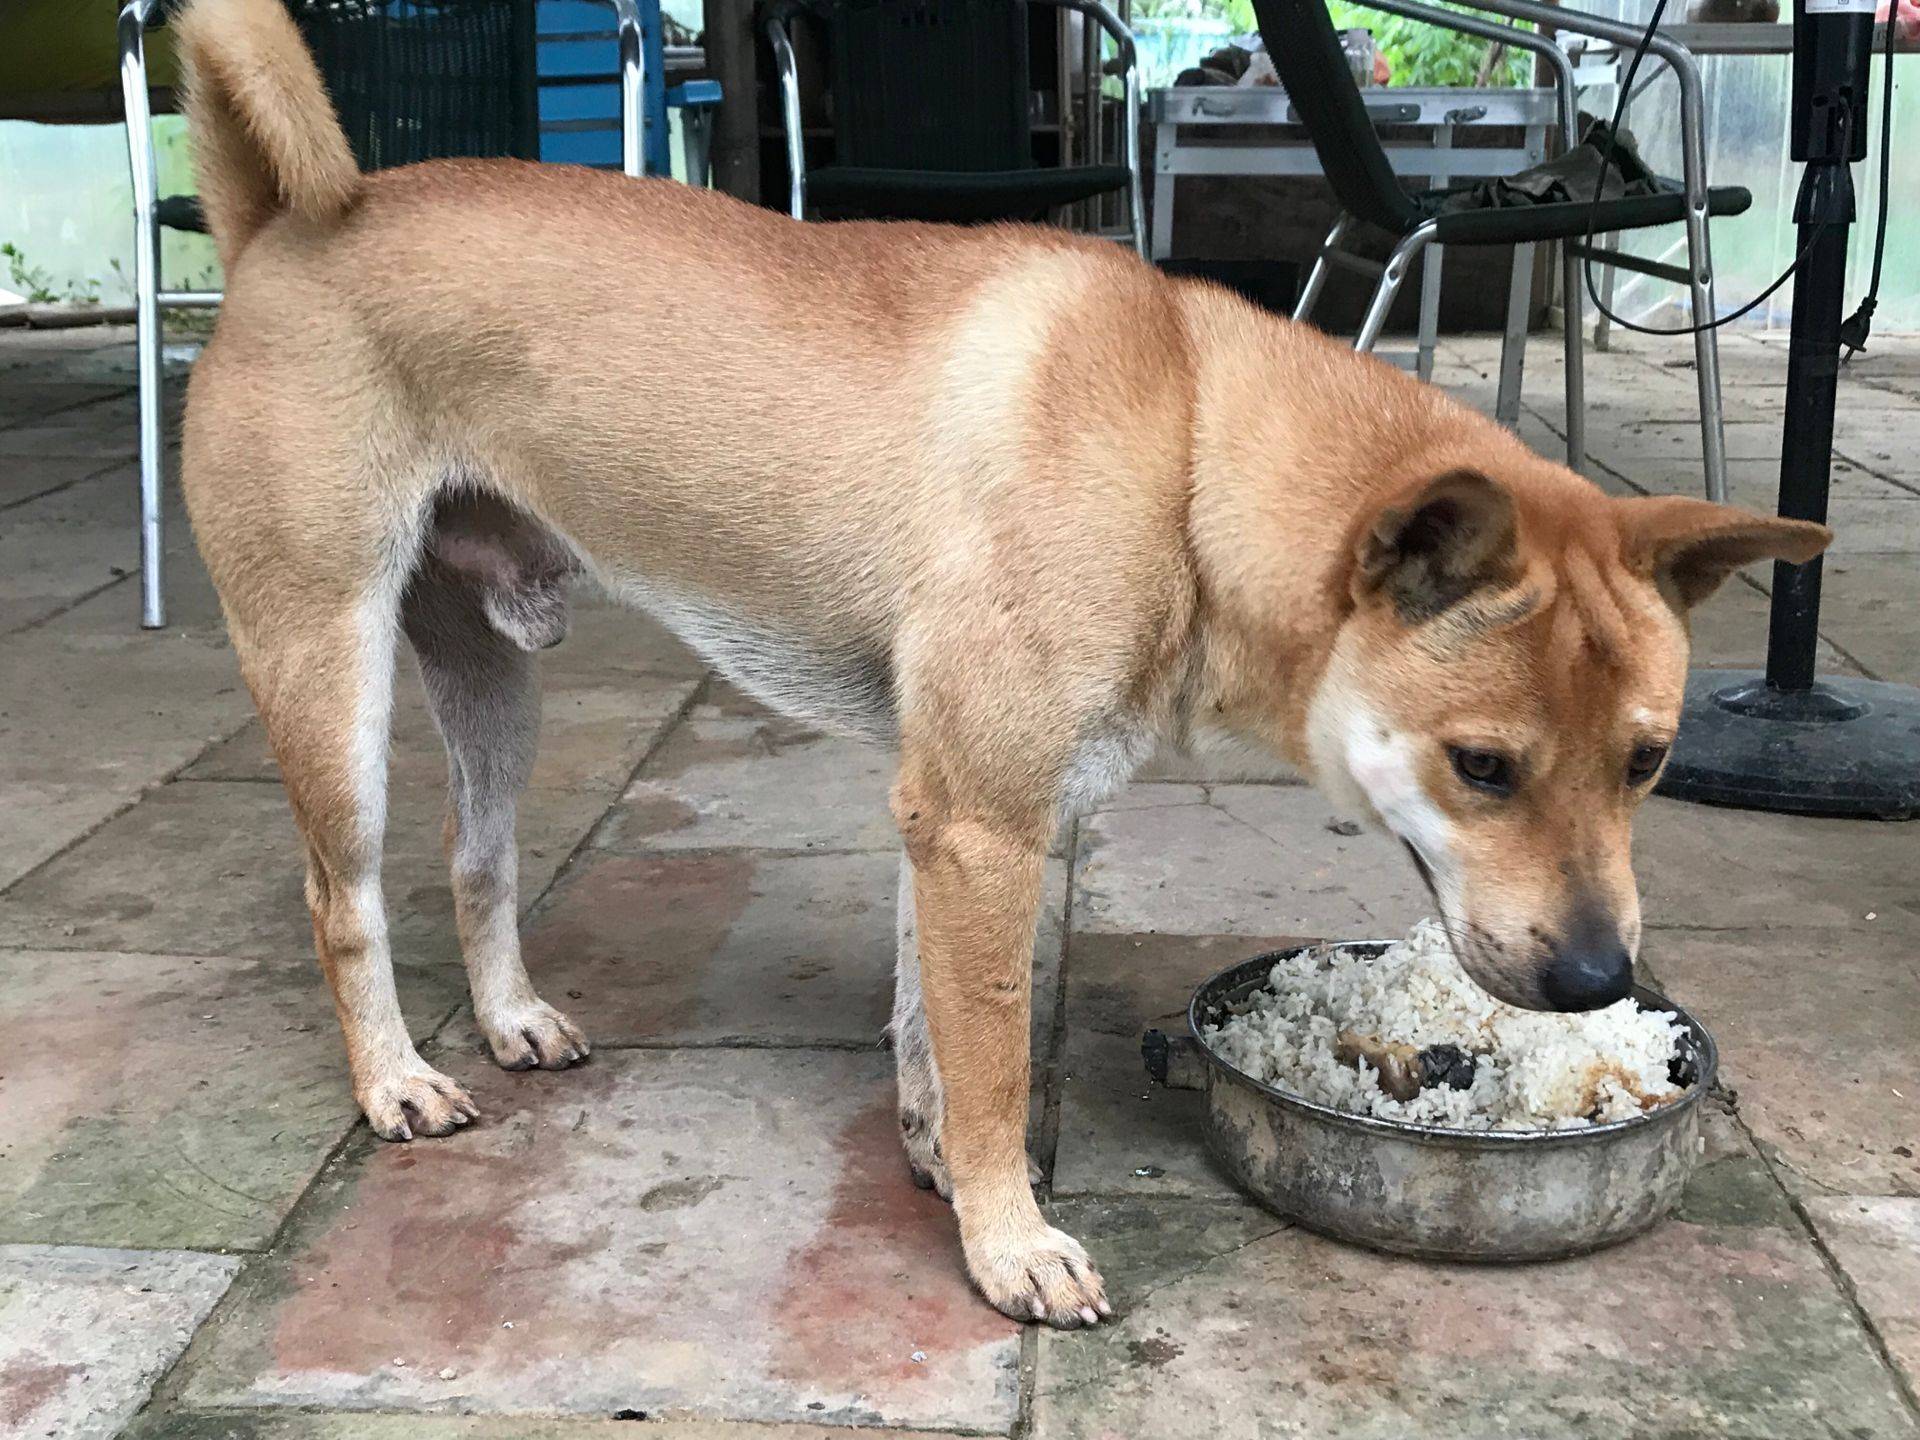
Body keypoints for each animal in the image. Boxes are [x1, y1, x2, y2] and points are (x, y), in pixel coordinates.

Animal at [168, 0, 1827, 1328]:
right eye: (1481, 767)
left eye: (1651, 761)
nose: (1602, 979)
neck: (1187, 452)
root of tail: (276, 229)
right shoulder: (982, 824)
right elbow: (988, 1052)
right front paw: (1007, 1239)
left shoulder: (948, 813)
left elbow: (930, 1030)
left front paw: (938, 1168)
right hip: (326, 668)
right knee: (343, 897)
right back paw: (393, 1079)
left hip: (492, 680)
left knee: (479, 861)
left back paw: (510, 1017)